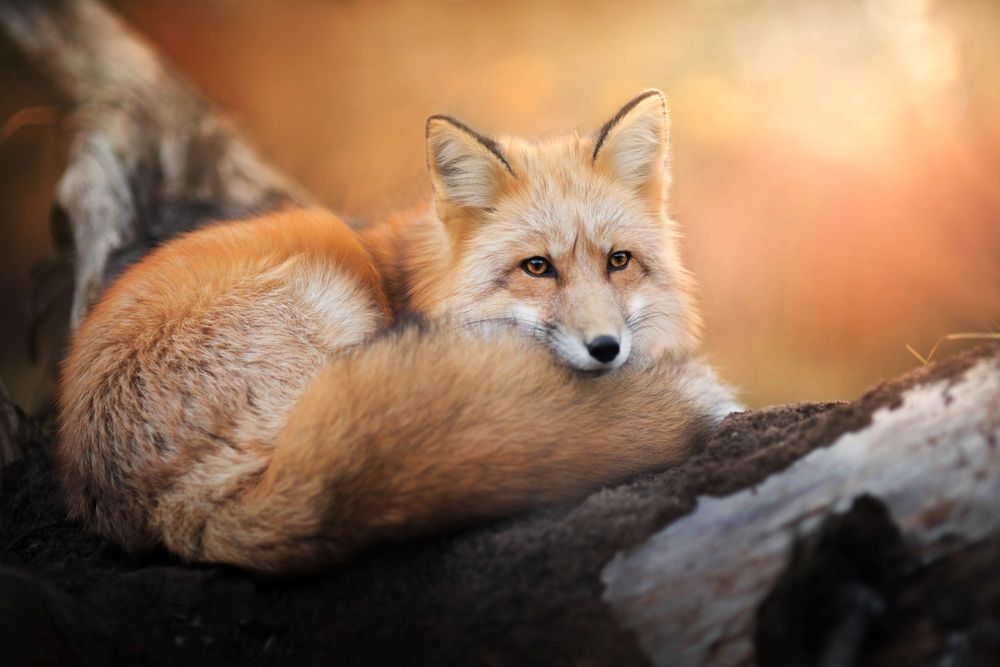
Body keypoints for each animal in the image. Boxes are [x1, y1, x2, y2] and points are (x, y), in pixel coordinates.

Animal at [57, 89, 740, 574]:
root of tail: (177, 508)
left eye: (618, 261)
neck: (418, 281)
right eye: (537, 267)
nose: (606, 349)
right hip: (331, 298)